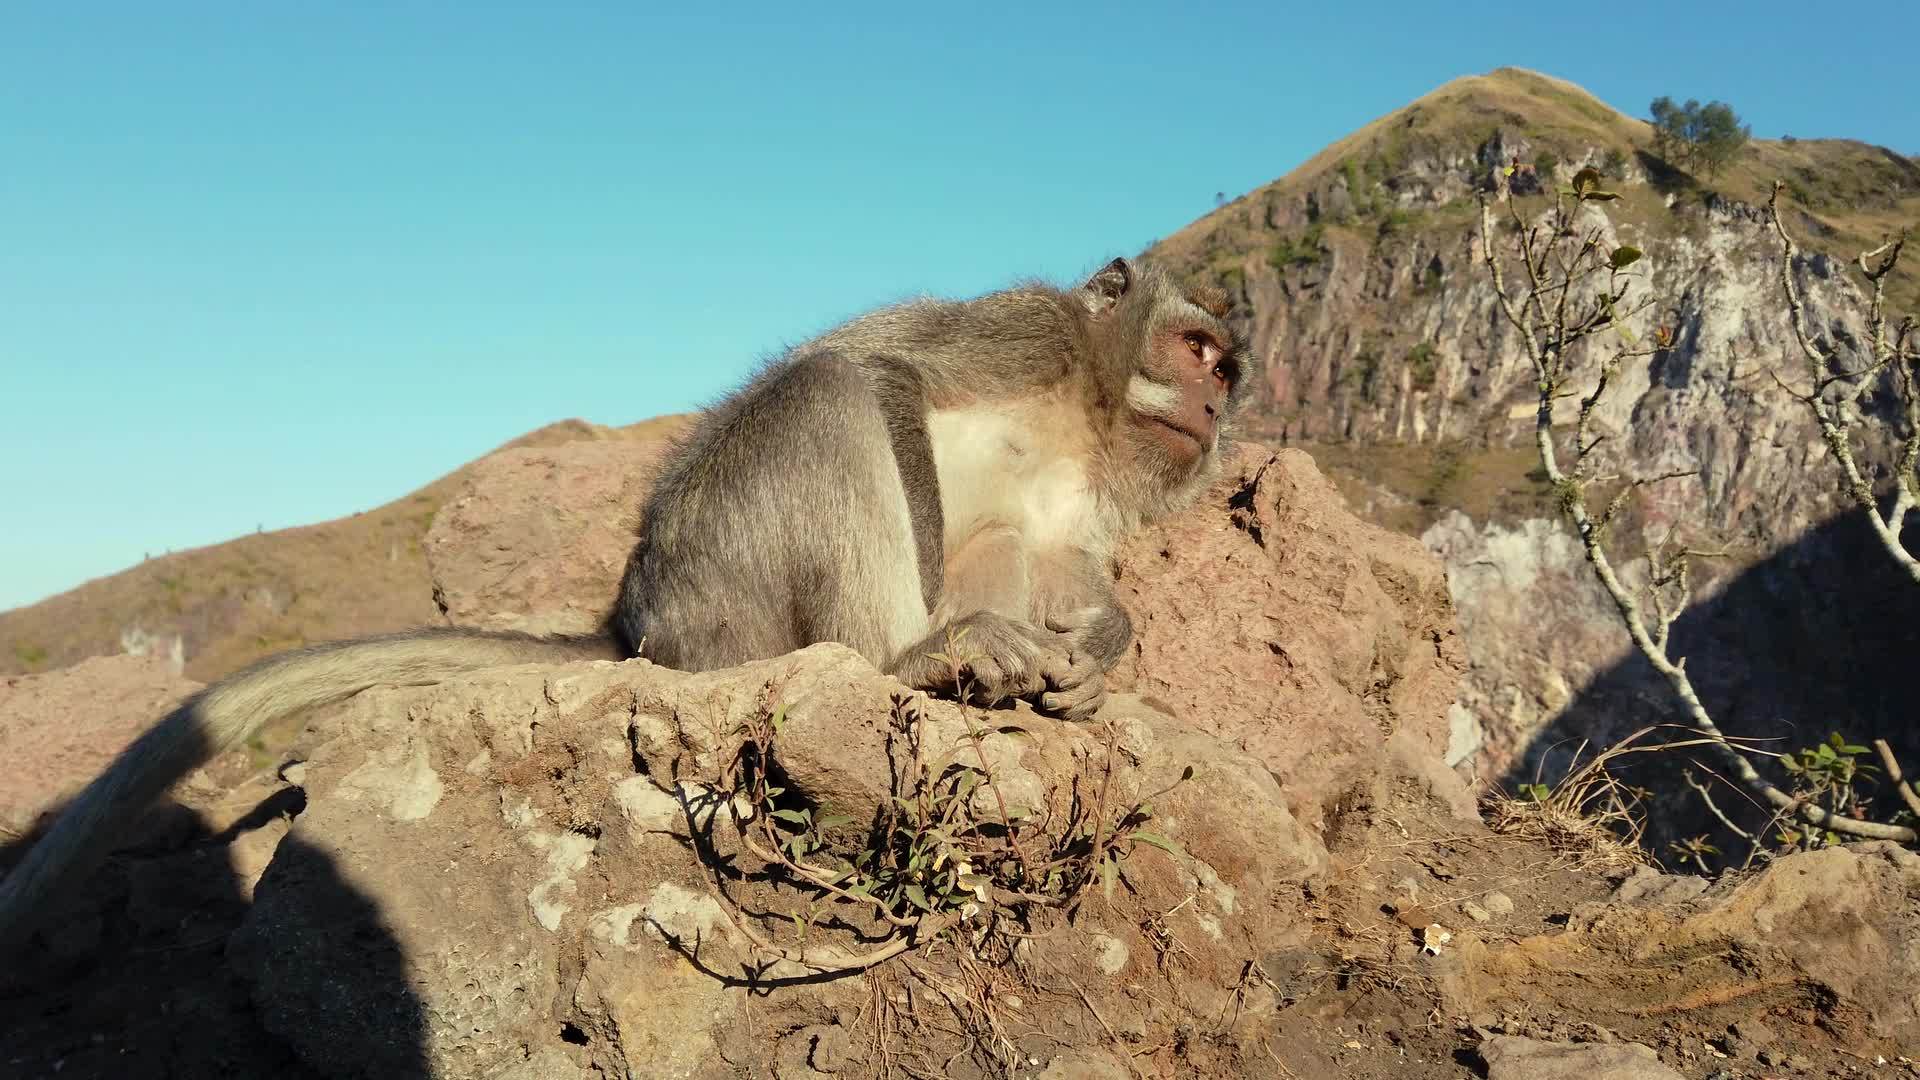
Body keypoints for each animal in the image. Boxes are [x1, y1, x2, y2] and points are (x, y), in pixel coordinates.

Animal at [0, 251, 1244, 949]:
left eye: (1224, 367)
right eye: (1195, 347)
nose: (1211, 405)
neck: (1086, 406)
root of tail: (634, 621)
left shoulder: (1094, 487)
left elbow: (1062, 557)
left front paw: (1101, 645)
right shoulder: (1021, 328)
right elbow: (883, 373)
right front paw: (953, 633)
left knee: (999, 533)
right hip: (721, 579)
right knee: (826, 396)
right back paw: (911, 657)